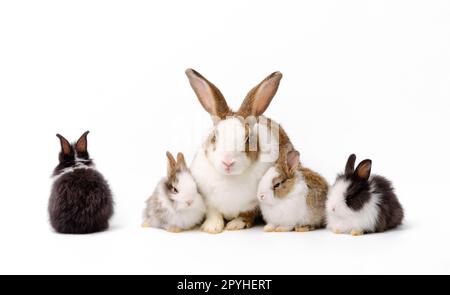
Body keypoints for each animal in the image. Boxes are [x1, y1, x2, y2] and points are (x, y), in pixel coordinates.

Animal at [185, 68, 294, 235]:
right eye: (214, 137)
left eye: (248, 139)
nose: (228, 162)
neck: (230, 179)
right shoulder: (208, 200)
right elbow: (213, 213)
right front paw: (212, 227)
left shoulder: (254, 204)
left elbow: (246, 214)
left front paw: (235, 225)